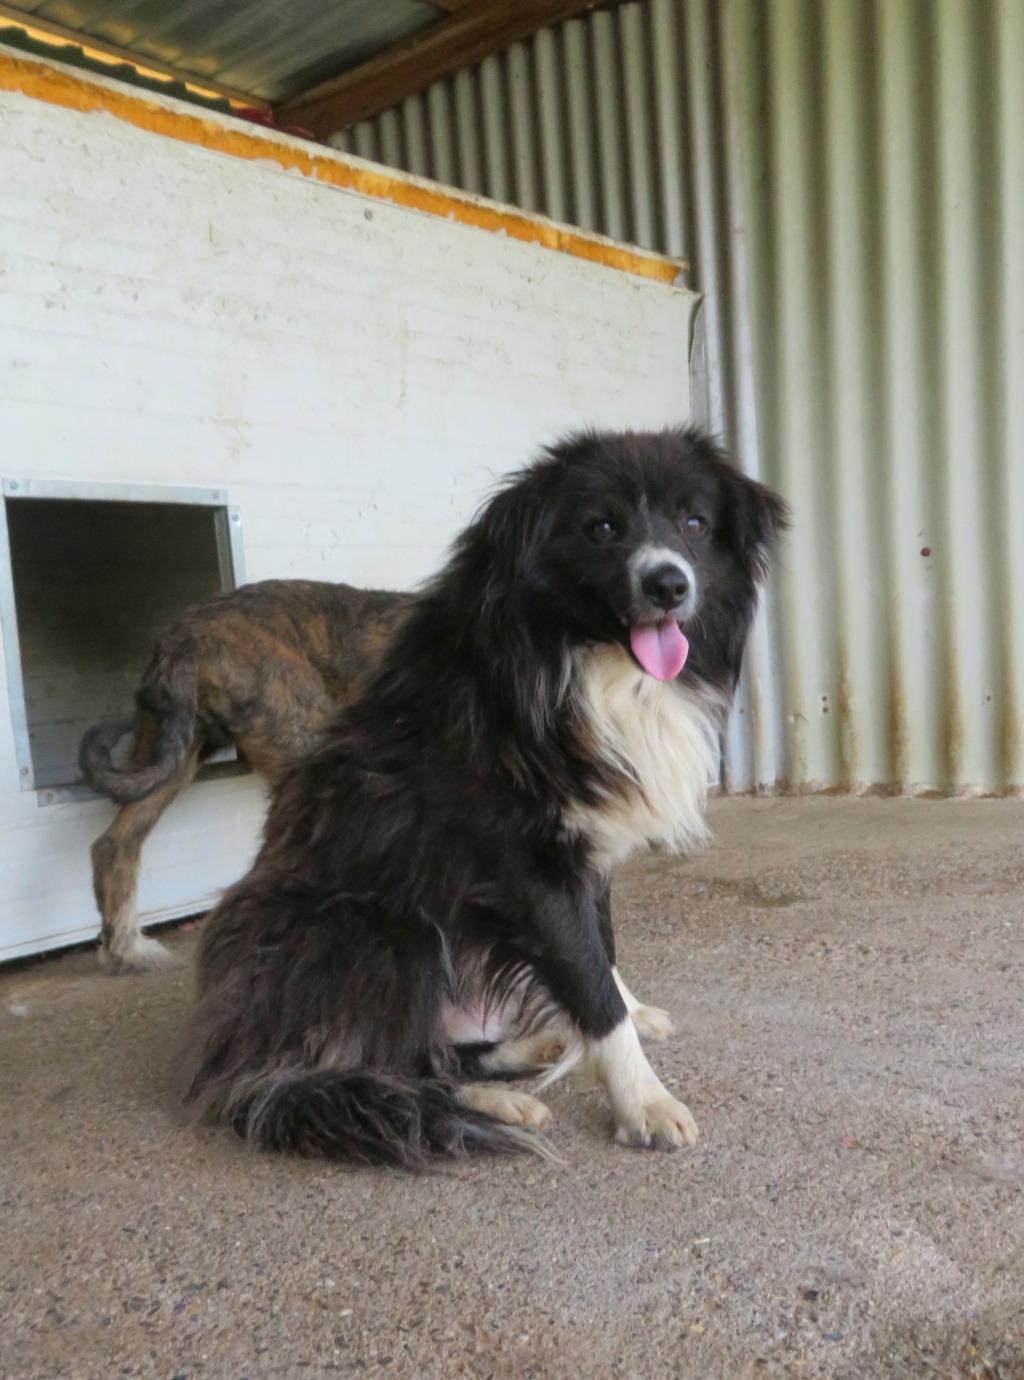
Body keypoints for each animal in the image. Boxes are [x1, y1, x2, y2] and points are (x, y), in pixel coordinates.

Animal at [178, 427, 783, 1164]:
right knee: (394, 1063)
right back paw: (492, 1099)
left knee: (439, 1052)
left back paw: (532, 1049)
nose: (669, 584)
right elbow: (590, 982)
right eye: (602, 527)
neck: (573, 659)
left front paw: (626, 1019)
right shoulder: (528, 868)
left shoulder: (585, 852)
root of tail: (240, 1059)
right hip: (388, 930)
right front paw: (643, 1101)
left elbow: (601, 952)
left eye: (694, 522)